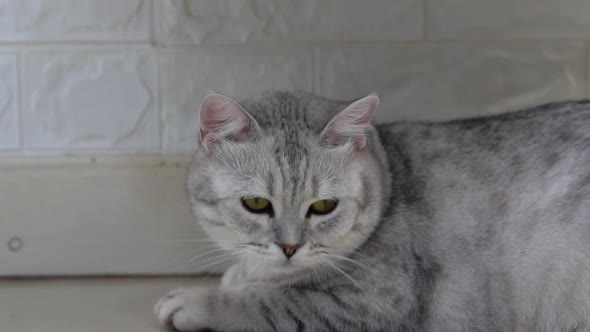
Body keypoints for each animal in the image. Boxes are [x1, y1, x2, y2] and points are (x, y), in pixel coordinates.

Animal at [156, 91, 590, 332]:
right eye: (257, 204)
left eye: (324, 206)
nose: (290, 248)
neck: (393, 176)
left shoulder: (372, 304)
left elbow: (265, 303)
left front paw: (195, 301)